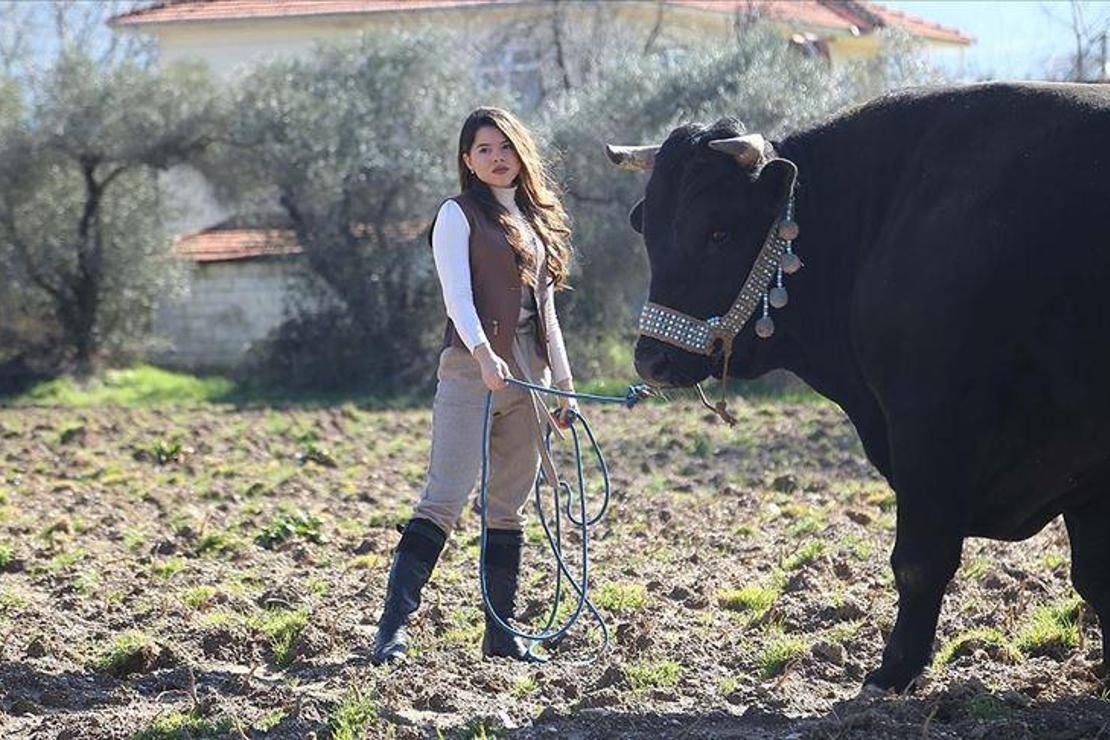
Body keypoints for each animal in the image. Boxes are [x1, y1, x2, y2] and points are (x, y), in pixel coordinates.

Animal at [608, 82, 1110, 696]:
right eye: (647, 228)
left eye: (717, 231)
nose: (651, 359)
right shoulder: (1083, 468)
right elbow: (1096, 577)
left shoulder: (930, 427)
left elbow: (919, 563)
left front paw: (893, 671)